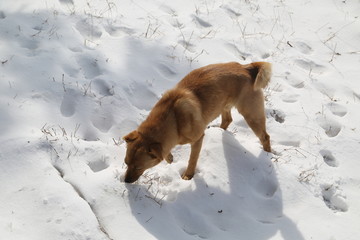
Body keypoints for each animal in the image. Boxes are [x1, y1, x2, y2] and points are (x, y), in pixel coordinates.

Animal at [122, 61, 272, 183]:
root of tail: (247, 67)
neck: (173, 118)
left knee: (265, 137)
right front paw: (169, 158)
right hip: (223, 105)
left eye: (138, 167)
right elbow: (166, 152)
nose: (125, 181)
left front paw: (188, 176)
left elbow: (192, 159)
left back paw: (267, 154)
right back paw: (220, 131)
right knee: (227, 120)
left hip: (252, 115)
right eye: (126, 163)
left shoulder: (198, 139)